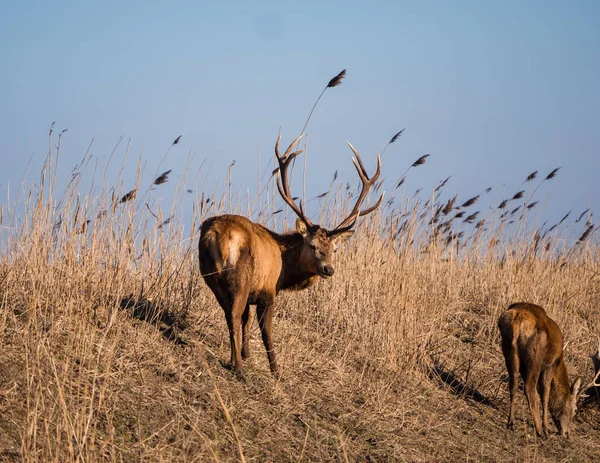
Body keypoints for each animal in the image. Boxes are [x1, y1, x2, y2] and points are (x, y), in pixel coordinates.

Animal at [199, 134, 382, 380]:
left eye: (334, 250)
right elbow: (265, 330)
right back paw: (239, 369)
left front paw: (245, 354)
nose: (328, 269)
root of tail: (218, 235)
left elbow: (247, 320)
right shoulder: (267, 289)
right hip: (241, 276)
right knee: (234, 315)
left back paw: (235, 360)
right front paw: (275, 371)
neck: (284, 270)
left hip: (210, 274)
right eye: (313, 245)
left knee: (230, 315)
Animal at [496, 304, 600, 438]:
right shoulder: (550, 365)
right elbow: (545, 394)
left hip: (509, 349)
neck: (560, 359)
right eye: (575, 409)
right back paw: (540, 430)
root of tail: (518, 320)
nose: (567, 433)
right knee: (529, 388)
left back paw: (511, 422)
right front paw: (546, 427)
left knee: (513, 384)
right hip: (535, 357)